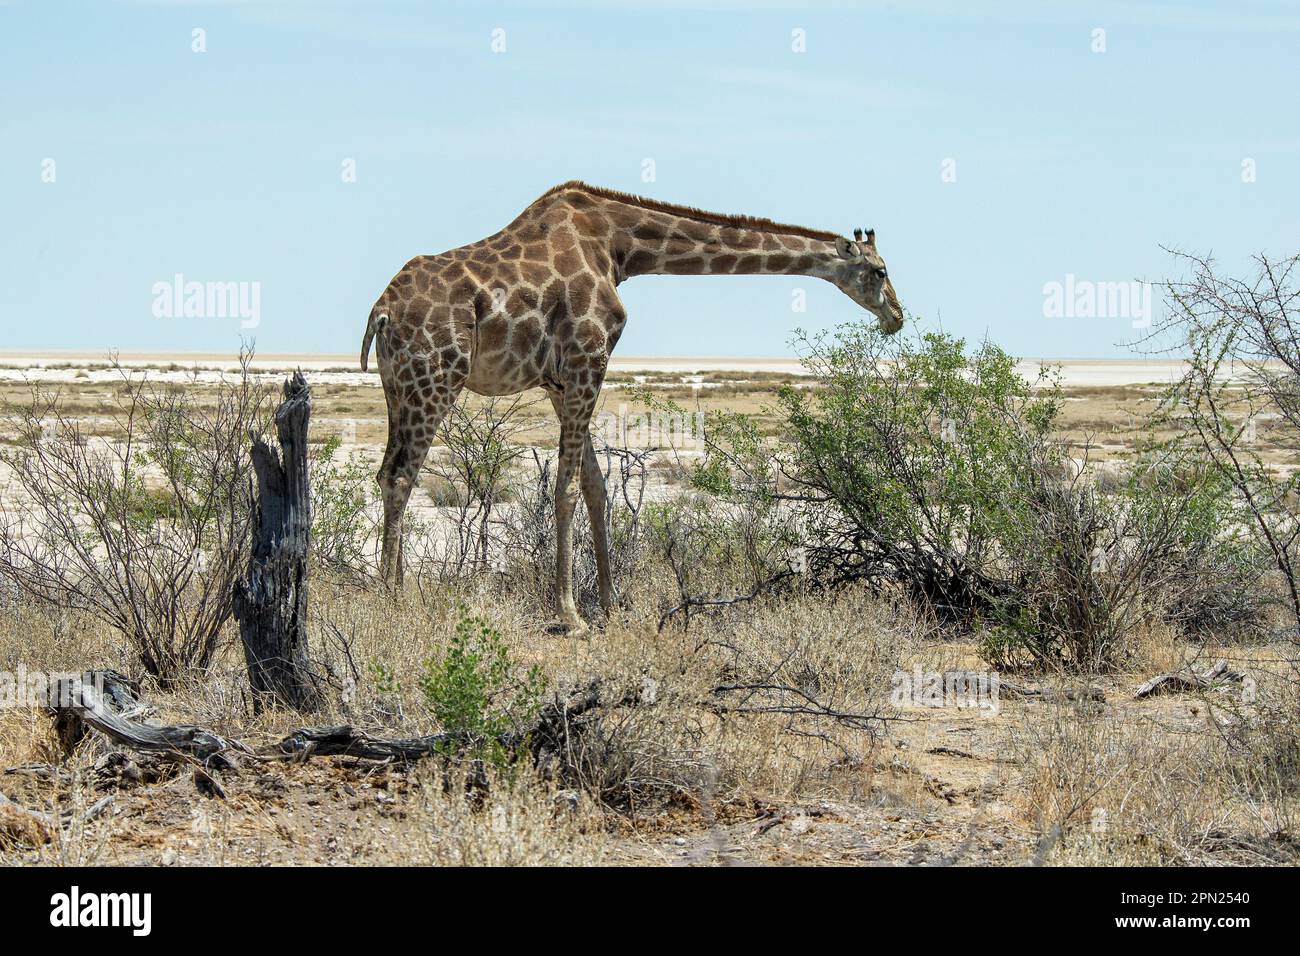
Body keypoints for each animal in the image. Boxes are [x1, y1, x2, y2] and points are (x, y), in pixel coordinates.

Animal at [358, 182, 904, 632]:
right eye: (879, 271)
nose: (897, 316)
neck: (619, 248)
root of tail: (380, 312)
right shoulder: (587, 358)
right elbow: (566, 488)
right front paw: (570, 613)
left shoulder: (559, 379)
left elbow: (596, 487)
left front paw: (611, 603)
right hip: (437, 377)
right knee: (403, 475)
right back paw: (393, 599)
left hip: (397, 387)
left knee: (387, 473)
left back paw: (398, 585)